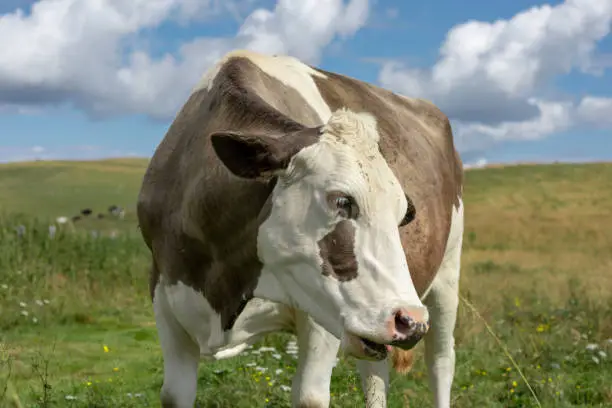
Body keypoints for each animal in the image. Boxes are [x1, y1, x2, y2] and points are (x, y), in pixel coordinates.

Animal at [137, 48, 464, 408]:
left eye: (404, 214)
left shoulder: (322, 308)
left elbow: (309, 396)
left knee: (440, 363)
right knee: (375, 375)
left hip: (446, 276)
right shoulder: (164, 294)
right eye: (342, 200)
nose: (409, 320)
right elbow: (174, 393)